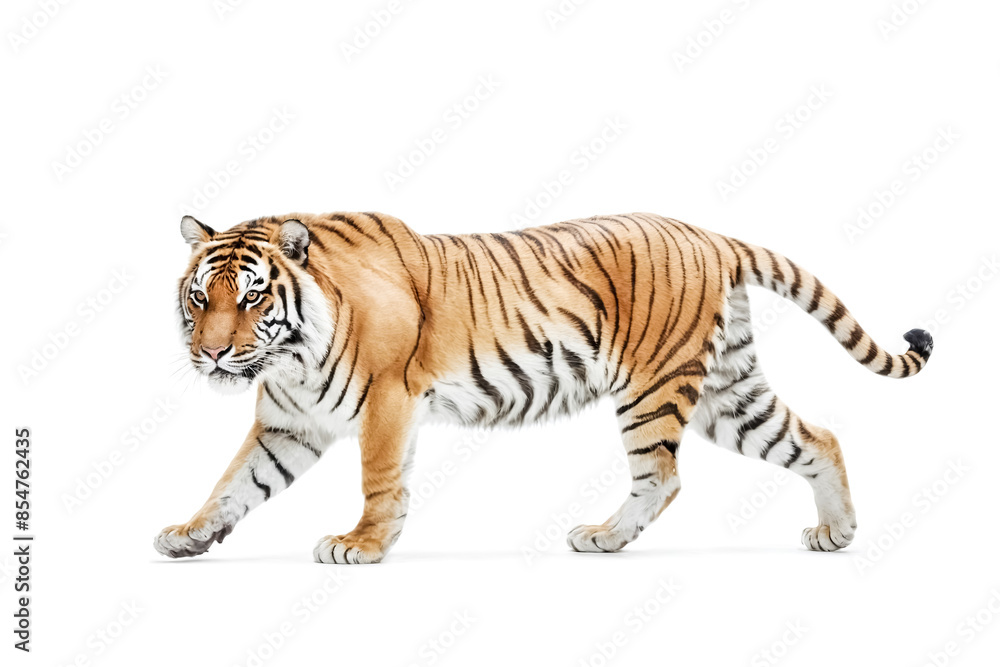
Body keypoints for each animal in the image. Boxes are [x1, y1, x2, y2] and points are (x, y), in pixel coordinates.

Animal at [153, 211, 932, 564]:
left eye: (252, 297)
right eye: (199, 298)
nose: (211, 352)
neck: (288, 356)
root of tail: (707, 233)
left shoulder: (388, 402)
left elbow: (378, 480)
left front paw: (363, 544)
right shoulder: (289, 424)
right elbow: (233, 482)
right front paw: (190, 534)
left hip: (652, 387)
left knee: (663, 476)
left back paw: (605, 537)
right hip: (728, 392)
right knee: (817, 437)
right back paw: (837, 531)